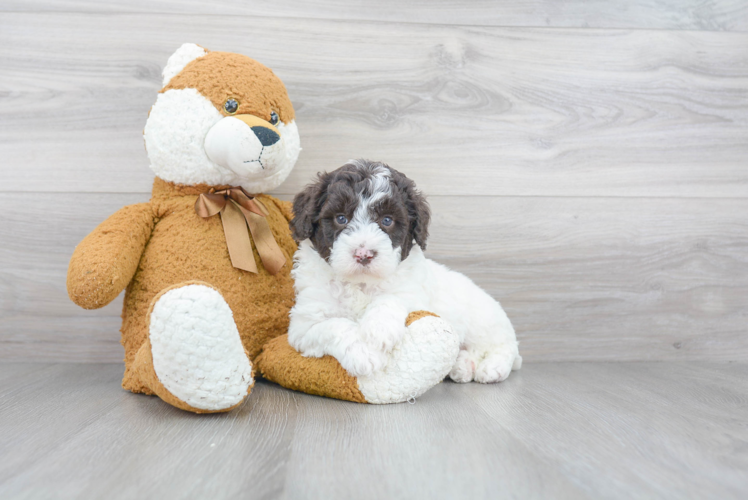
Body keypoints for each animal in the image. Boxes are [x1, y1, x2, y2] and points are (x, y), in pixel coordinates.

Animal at [286, 160, 520, 382]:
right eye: (341, 218)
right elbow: (334, 325)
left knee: (504, 347)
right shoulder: (303, 327)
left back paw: (492, 368)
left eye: (387, 220)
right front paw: (363, 353)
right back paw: (462, 366)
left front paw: (379, 329)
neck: (361, 283)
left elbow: (392, 298)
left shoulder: (413, 295)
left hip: (484, 323)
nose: (364, 254)